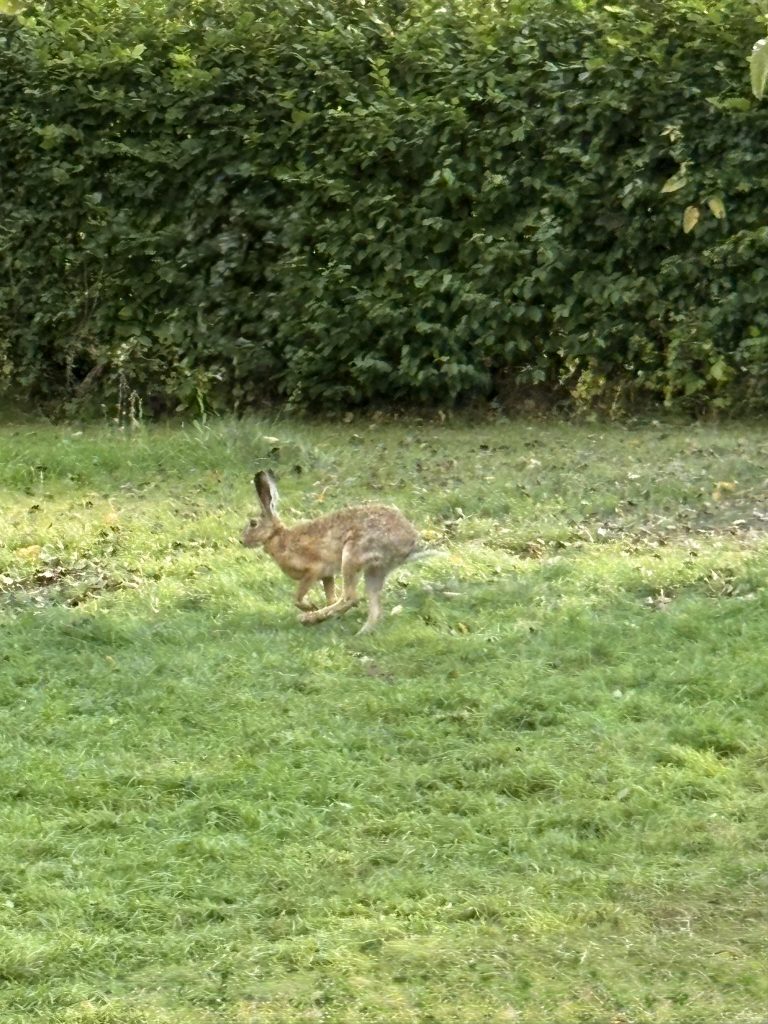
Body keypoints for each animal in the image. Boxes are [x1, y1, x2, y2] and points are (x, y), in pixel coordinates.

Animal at [242, 470, 432, 634]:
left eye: (253, 523)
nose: (241, 540)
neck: (278, 537)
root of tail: (410, 543)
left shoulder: (313, 569)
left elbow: (298, 597)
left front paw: (310, 607)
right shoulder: (327, 575)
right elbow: (330, 596)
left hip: (351, 556)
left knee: (350, 598)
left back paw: (309, 618)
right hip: (374, 571)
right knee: (372, 607)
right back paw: (358, 633)